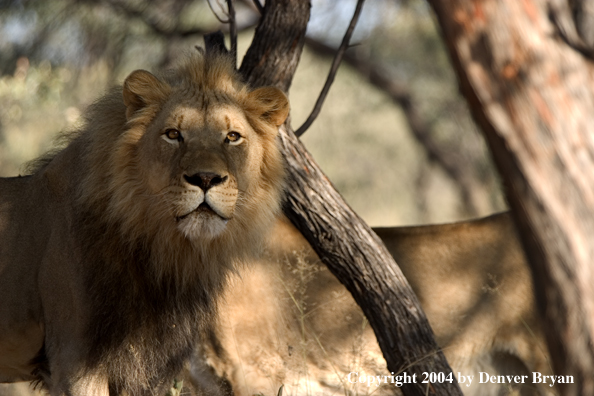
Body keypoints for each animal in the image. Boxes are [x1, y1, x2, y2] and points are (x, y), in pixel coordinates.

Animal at [0, 53, 290, 396]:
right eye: (173, 134)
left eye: (232, 137)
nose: (206, 178)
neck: (161, 252)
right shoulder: (74, 359)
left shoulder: (144, 364)